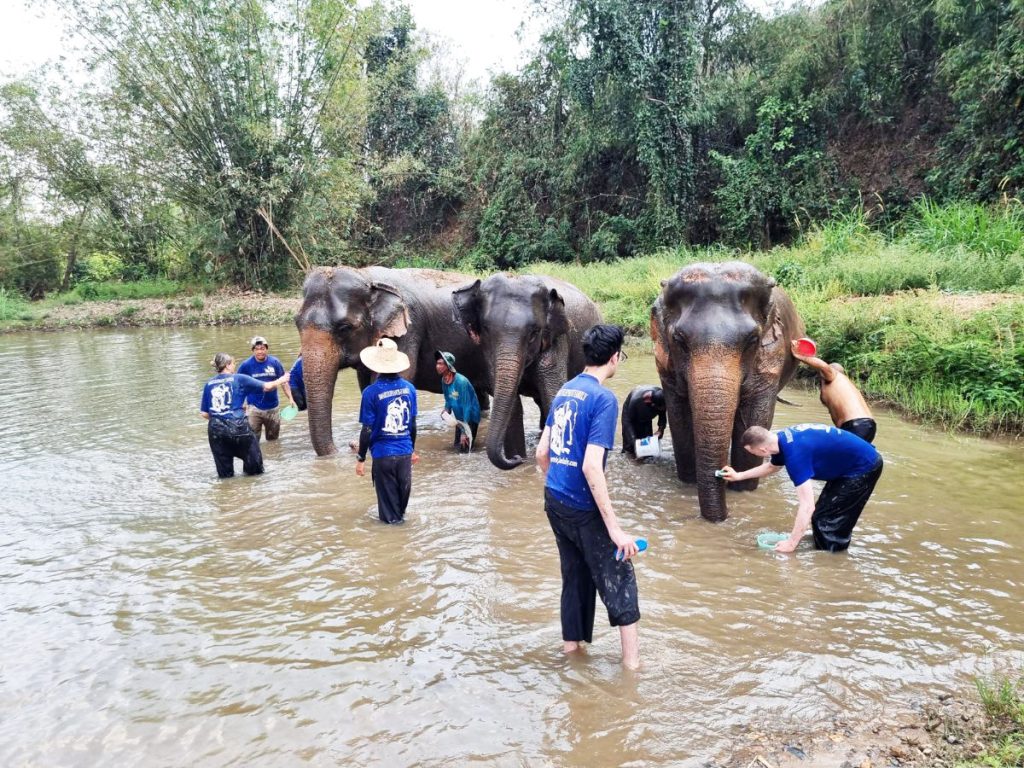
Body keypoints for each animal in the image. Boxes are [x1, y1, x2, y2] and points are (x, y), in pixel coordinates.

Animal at [296, 266, 490, 456]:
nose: (341, 449)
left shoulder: (407, 330)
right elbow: (367, 387)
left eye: (345, 328)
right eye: (296, 323)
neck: (366, 276)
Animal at [452, 273, 602, 470]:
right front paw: (520, 459)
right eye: (486, 329)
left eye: (534, 332)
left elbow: (554, 395)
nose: (515, 459)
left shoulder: (557, 341)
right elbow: (514, 407)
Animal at [651, 261, 804, 522]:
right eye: (679, 339)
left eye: (752, 339)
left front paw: (742, 490)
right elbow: (680, 418)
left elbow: (753, 419)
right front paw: (689, 483)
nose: (722, 518)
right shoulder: (667, 367)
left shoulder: (770, 359)